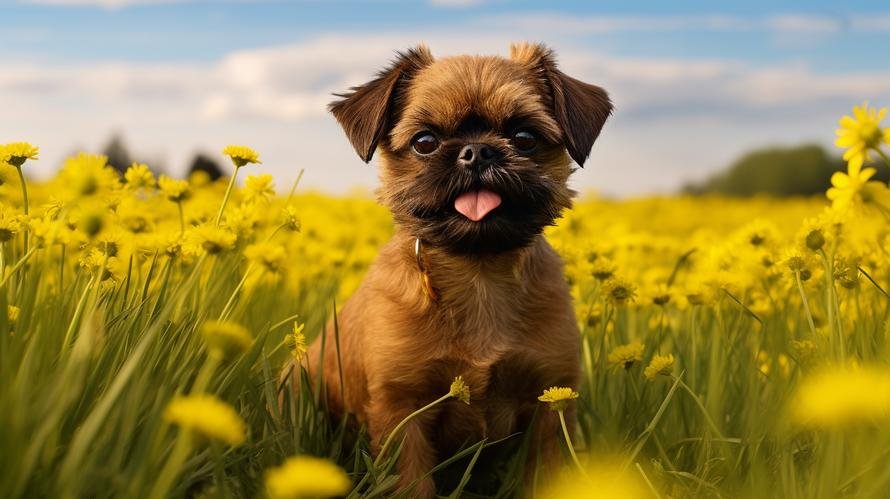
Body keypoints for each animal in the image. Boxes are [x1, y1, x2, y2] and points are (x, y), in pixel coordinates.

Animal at [306, 44, 612, 499]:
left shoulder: (550, 402)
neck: (478, 271)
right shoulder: (402, 410)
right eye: (425, 142)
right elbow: (412, 483)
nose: (477, 151)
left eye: (524, 138)